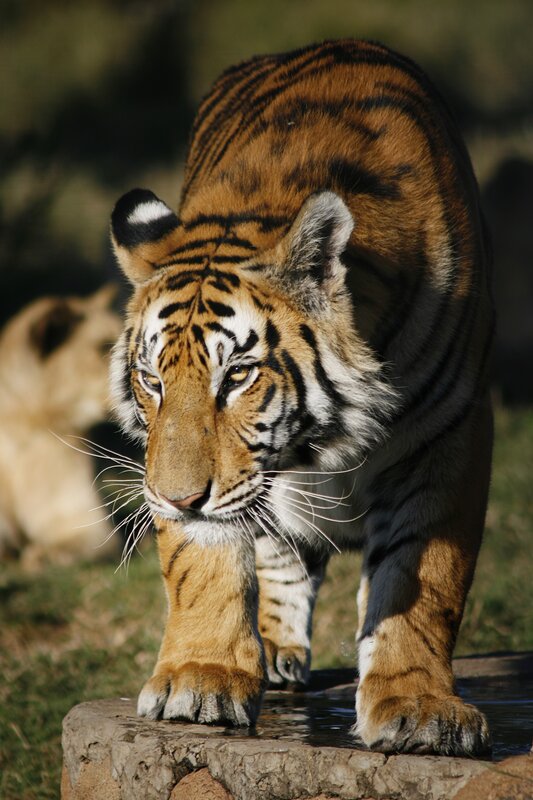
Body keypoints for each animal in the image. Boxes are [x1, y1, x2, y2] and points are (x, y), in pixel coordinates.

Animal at [110, 39, 494, 756]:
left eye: (237, 375)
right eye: (152, 381)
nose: (175, 499)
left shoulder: (450, 431)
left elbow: (424, 578)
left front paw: (420, 708)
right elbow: (205, 561)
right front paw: (199, 681)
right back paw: (273, 650)